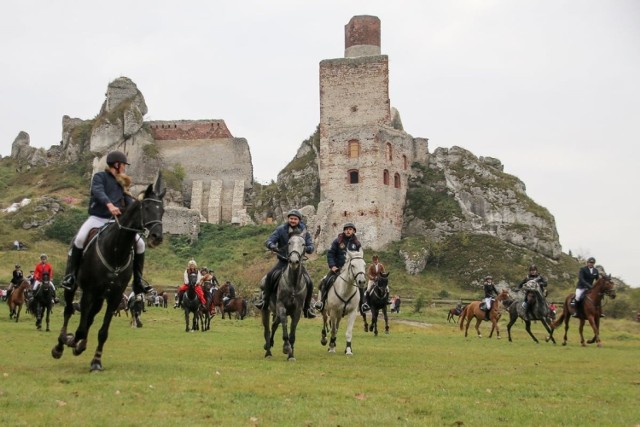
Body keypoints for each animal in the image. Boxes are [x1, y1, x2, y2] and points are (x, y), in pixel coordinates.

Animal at [51, 176, 165, 372]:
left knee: (90, 318)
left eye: (163, 211)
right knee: (68, 311)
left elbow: (102, 331)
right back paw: (60, 345)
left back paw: (81, 345)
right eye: (147, 208)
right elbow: (80, 327)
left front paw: (96, 361)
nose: (157, 237)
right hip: (73, 288)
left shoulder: (114, 296)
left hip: (100, 297)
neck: (116, 250)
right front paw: (71, 341)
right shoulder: (89, 292)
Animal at [260, 232, 310, 360]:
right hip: (266, 310)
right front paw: (286, 347)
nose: (294, 261)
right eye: (289, 242)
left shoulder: (297, 311)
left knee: (274, 325)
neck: (293, 284)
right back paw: (268, 352)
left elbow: (292, 332)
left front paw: (291, 355)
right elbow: (285, 326)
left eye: (303, 244)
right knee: (267, 330)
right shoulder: (281, 307)